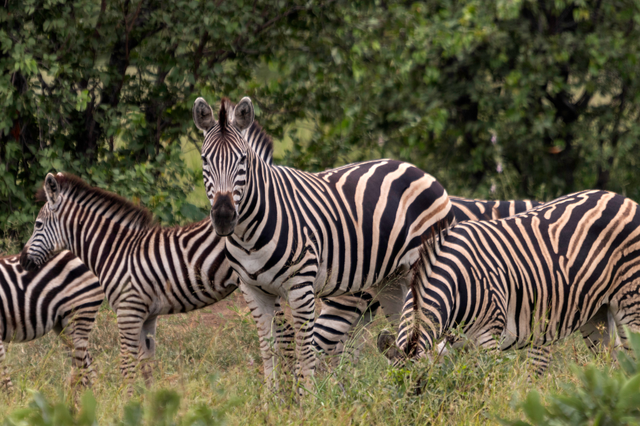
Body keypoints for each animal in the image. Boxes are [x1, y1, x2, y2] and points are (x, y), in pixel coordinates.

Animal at [20, 173, 242, 392]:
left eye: (38, 224)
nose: (22, 261)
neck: (116, 250)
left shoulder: (128, 311)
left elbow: (127, 366)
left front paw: (126, 399)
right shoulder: (148, 315)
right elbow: (146, 365)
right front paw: (149, 400)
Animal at [192, 95, 452, 386]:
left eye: (243, 159)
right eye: (204, 160)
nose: (224, 217)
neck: (249, 235)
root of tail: (416, 169)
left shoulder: (300, 287)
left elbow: (305, 351)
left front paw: (306, 396)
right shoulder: (253, 291)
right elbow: (268, 350)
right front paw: (271, 397)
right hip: (391, 282)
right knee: (407, 334)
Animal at [380, 191, 640, 374]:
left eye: (419, 385)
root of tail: (623, 199)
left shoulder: (488, 338)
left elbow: (483, 387)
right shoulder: (458, 346)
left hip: (631, 303)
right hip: (597, 312)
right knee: (611, 364)